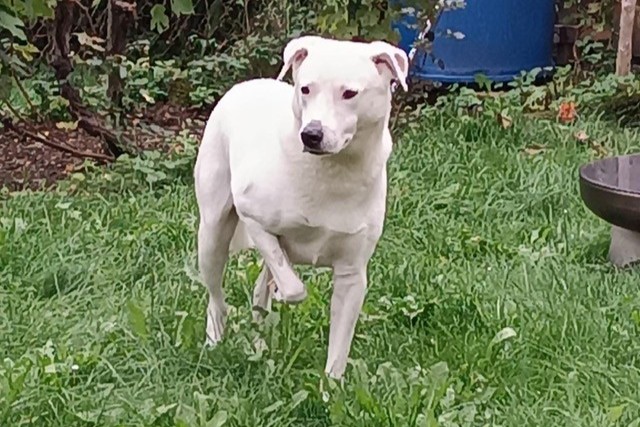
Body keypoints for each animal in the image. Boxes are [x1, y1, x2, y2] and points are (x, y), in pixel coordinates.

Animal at [193, 35, 408, 379]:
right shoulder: (253, 218)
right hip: (212, 234)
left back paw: (260, 339)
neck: (333, 171)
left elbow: (339, 347)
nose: (311, 134)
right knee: (217, 296)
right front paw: (288, 290)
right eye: (305, 89)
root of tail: (245, 85)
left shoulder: (353, 274)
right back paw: (215, 340)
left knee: (260, 289)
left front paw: (331, 387)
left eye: (349, 93)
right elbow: (294, 286)